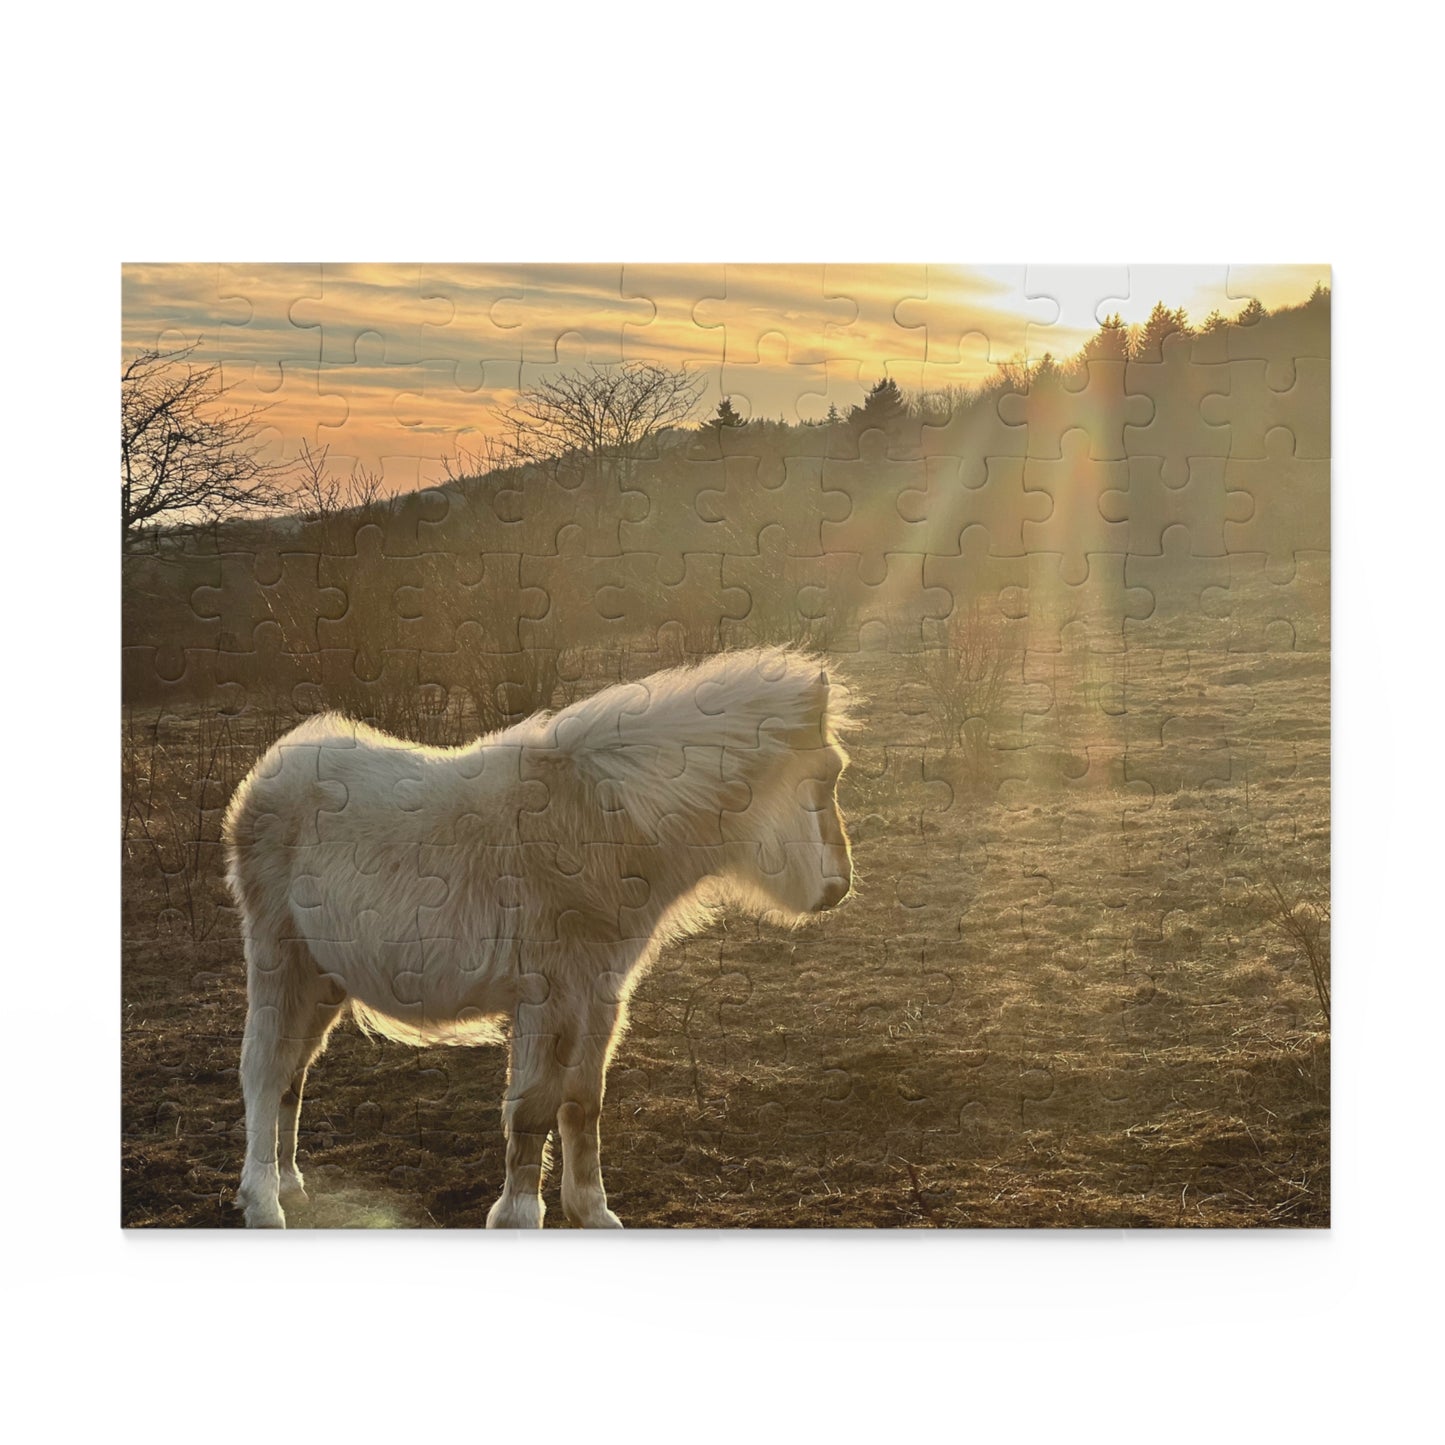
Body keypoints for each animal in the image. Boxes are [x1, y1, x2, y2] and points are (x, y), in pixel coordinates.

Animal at [223, 646, 854, 1228]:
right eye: (828, 774)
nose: (838, 888)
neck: (598, 827)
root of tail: (270, 772)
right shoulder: (546, 999)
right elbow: (532, 1110)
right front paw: (520, 1217)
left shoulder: (599, 997)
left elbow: (583, 1104)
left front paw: (592, 1211)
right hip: (281, 961)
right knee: (263, 1068)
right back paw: (263, 1204)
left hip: (324, 978)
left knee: (292, 1073)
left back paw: (290, 1186)